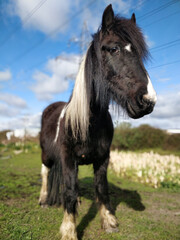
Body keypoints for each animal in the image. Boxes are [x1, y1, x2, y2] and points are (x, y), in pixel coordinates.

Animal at [39, 4, 156, 240]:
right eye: (113, 49)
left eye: (140, 53)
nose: (148, 100)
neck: (88, 122)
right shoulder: (67, 158)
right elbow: (69, 190)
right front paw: (69, 230)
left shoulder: (103, 157)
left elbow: (101, 188)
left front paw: (109, 222)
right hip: (47, 155)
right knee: (45, 173)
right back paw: (44, 200)